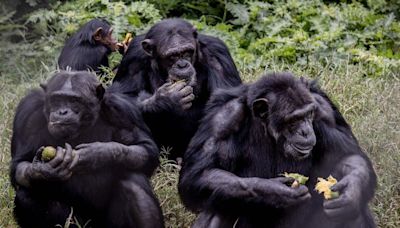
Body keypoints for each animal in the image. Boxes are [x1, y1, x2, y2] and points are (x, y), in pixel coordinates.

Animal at [10, 71, 164, 228]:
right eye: (57, 99)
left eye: (74, 100)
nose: (62, 112)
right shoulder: (28, 111)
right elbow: (20, 163)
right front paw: (45, 170)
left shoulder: (124, 110)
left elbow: (146, 148)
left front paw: (98, 154)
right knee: (27, 195)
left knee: (132, 180)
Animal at [114, 18, 242, 159]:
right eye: (172, 56)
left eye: (187, 52)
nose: (182, 65)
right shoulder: (133, 56)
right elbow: (122, 95)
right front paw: (167, 100)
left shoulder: (218, 53)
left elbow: (225, 99)